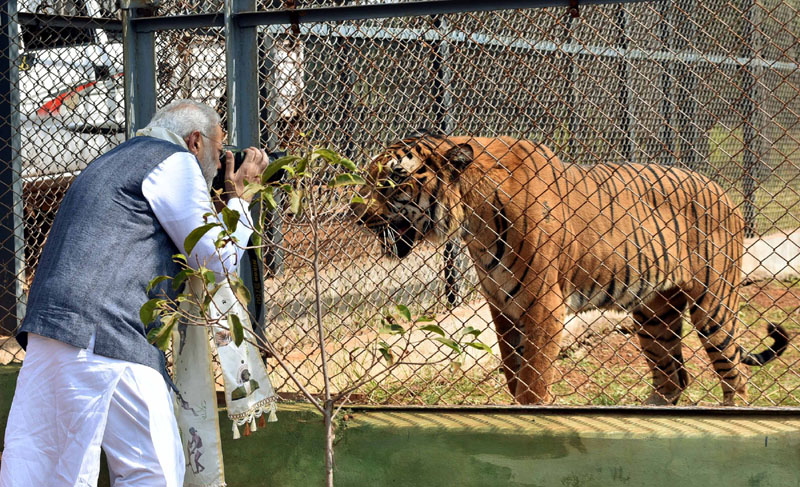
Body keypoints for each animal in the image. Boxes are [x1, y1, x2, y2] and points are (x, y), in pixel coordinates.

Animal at [352, 132, 788, 406]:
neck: (471, 220)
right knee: (673, 378)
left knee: (735, 377)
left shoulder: (544, 307)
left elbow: (533, 382)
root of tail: (723, 192)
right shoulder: (502, 307)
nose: (355, 215)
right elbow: (513, 373)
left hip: (712, 305)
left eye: (390, 181)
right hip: (654, 314)